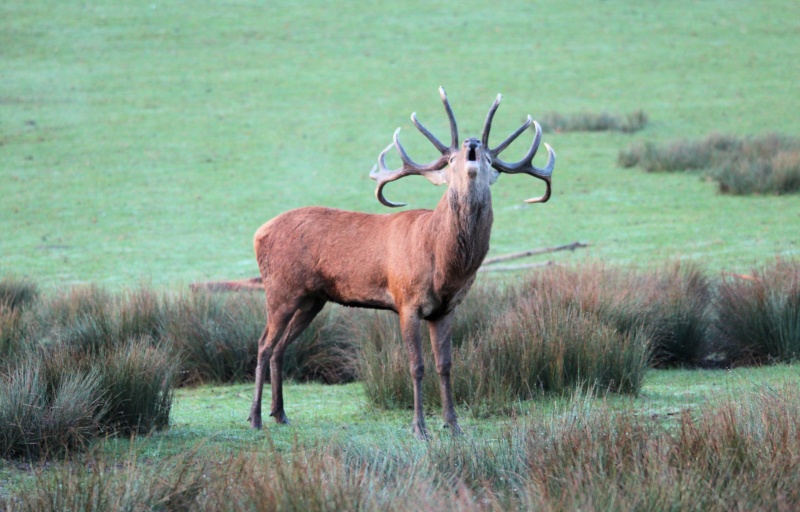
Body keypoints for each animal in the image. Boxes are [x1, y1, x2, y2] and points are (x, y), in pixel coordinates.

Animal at [247, 88, 552, 440]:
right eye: (450, 160)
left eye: (490, 159)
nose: (472, 144)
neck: (444, 266)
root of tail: (259, 233)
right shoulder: (407, 301)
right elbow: (416, 366)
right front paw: (419, 427)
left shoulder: (447, 308)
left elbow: (445, 365)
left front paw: (453, 424)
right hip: (280, 288)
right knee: (263, 344)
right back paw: (255, 418)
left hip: (312, 298)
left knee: (280, 346)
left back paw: (280, 414)